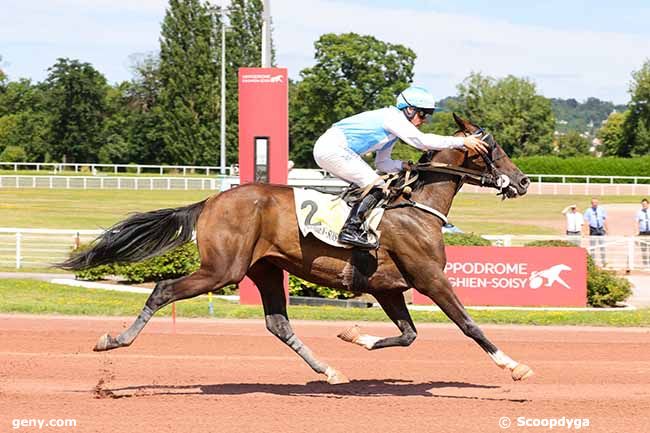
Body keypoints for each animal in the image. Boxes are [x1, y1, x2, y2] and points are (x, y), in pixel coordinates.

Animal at [58, 113, 528, 384]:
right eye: (494, 149)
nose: (523, 182)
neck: (416, 207)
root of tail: (210, 201)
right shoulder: (429, 278)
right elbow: (468, 325)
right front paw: (512, 365)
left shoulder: (388, 287)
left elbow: (408, 335)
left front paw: (353, 334)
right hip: (223, 269)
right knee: (163, 291)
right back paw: (114, 340)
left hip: (265, 268)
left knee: (278, 325)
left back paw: (329, 370)